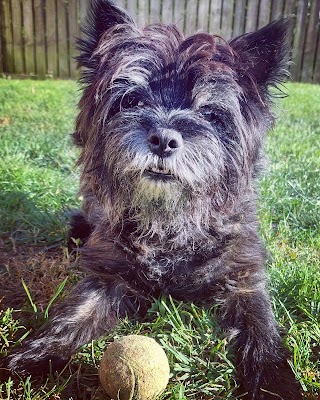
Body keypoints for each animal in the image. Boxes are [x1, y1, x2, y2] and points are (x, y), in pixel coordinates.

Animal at [6, 1, 304, 398]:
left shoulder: (242, 278)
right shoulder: (108, 276)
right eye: (131, 99)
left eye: (210, 112)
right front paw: (34, 356)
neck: (169, 221)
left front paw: (276, 382)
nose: (163, 139)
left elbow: (262, 329)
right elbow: (74, 315)